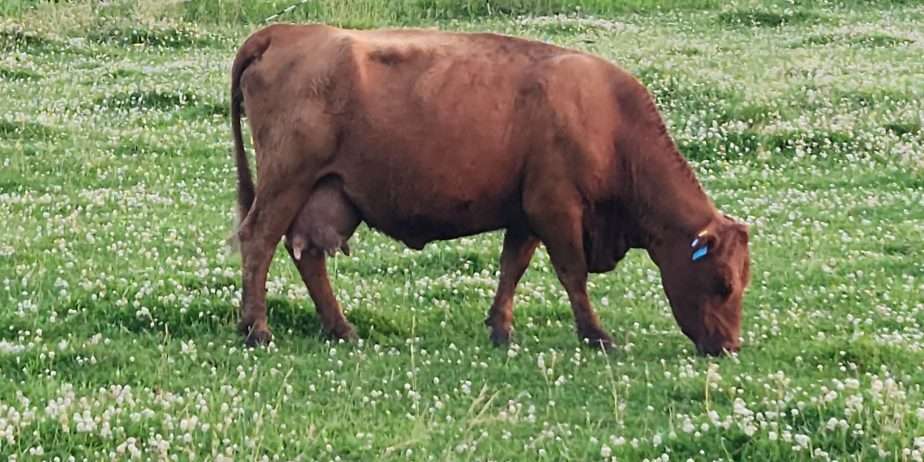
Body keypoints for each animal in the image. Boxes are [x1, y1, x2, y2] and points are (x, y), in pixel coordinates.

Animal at [230, 24, 751, 355]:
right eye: (723, 283)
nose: (728, 347)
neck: (607, 119)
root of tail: (286, 31)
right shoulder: (556, 210)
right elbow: (573, 275)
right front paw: (597, 335)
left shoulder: (525, 215)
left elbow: (511, 269)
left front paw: (500, 329)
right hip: (285, 183)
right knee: (258, 241)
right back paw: (257, 330)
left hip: (324, 194)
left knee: (306, 256)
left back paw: (341, 329)